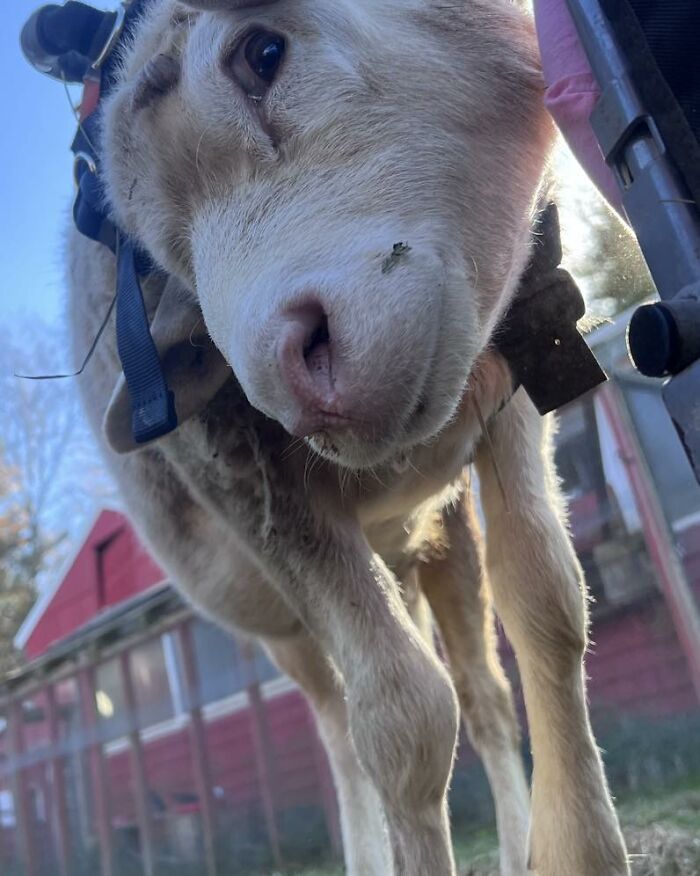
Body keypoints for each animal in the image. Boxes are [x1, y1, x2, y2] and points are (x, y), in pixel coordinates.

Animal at [68, 1, 629, 873]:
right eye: (166, 257)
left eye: (262, 53)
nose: (288, 373)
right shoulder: (259, 496)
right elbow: (402, 724)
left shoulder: (511, 391)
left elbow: (548, 604)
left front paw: (583, 848)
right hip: (281, 624)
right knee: (340, 734)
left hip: (434, 539)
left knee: (483, 692)